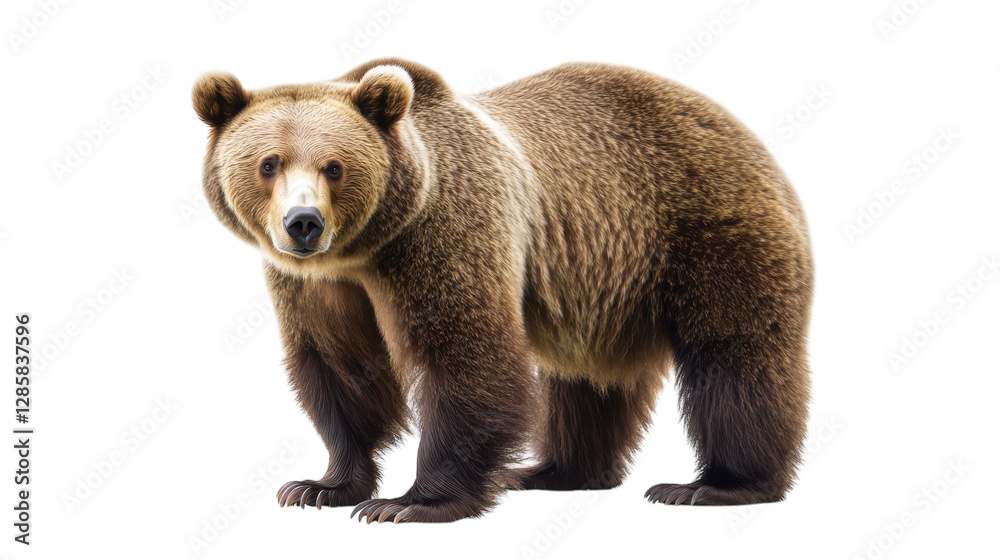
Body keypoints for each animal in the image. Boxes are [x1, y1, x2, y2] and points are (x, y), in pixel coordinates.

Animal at [192, 58, 813, 523]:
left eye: (335, 166)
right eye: (269, 163)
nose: (303, 223)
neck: (366, 249)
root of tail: (742, 128)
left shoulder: (443, 231)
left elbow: (465, 353)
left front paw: (410, 503)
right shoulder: (319, 286)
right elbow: (340, 368)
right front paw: (318, 486)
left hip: (708, 228)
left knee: (734, 359)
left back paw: (715, 485)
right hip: (604, 287)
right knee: (582, 382)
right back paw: (555, 471)